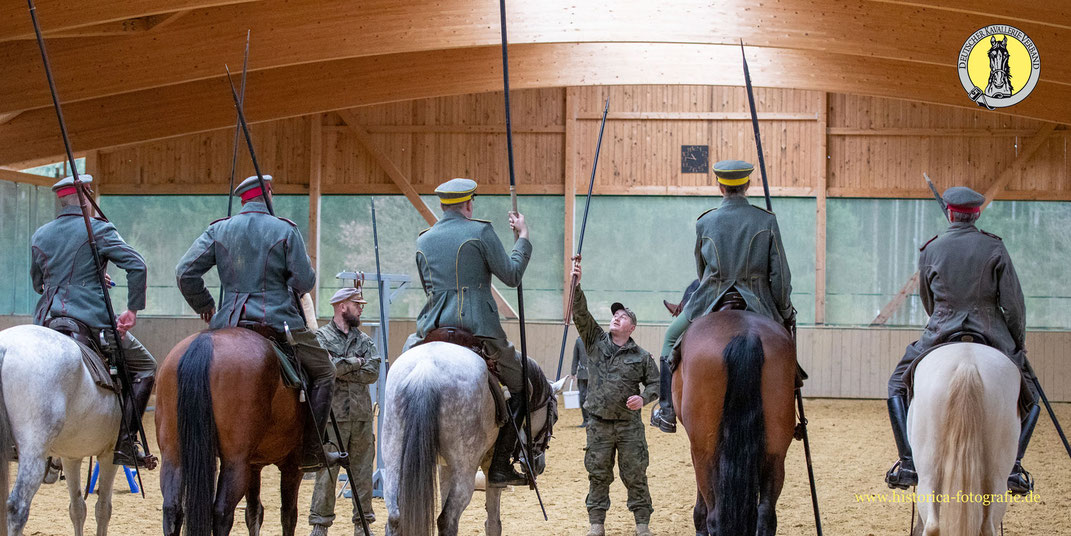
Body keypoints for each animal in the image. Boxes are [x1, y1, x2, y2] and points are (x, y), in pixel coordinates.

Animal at [0, 321, 123, 536]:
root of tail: (5, 347)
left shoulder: (71, 457)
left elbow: (78, 508)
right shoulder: (109, 455)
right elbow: (103, 508)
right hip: (33, 452)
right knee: (18, 507)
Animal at [156, 325, 306, 536]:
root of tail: (205, 341)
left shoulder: (254, 465)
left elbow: (254, 512)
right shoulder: (293, 466)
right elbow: (288, 515)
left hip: (173, 454)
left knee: (172, 509)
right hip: (235, 462)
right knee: (222, 512)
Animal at [676, 310, 796, 536]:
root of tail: (745, 335)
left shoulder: (696, 449)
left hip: (705, 451)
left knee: (715, 515)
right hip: (776, 452)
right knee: (766, 514)